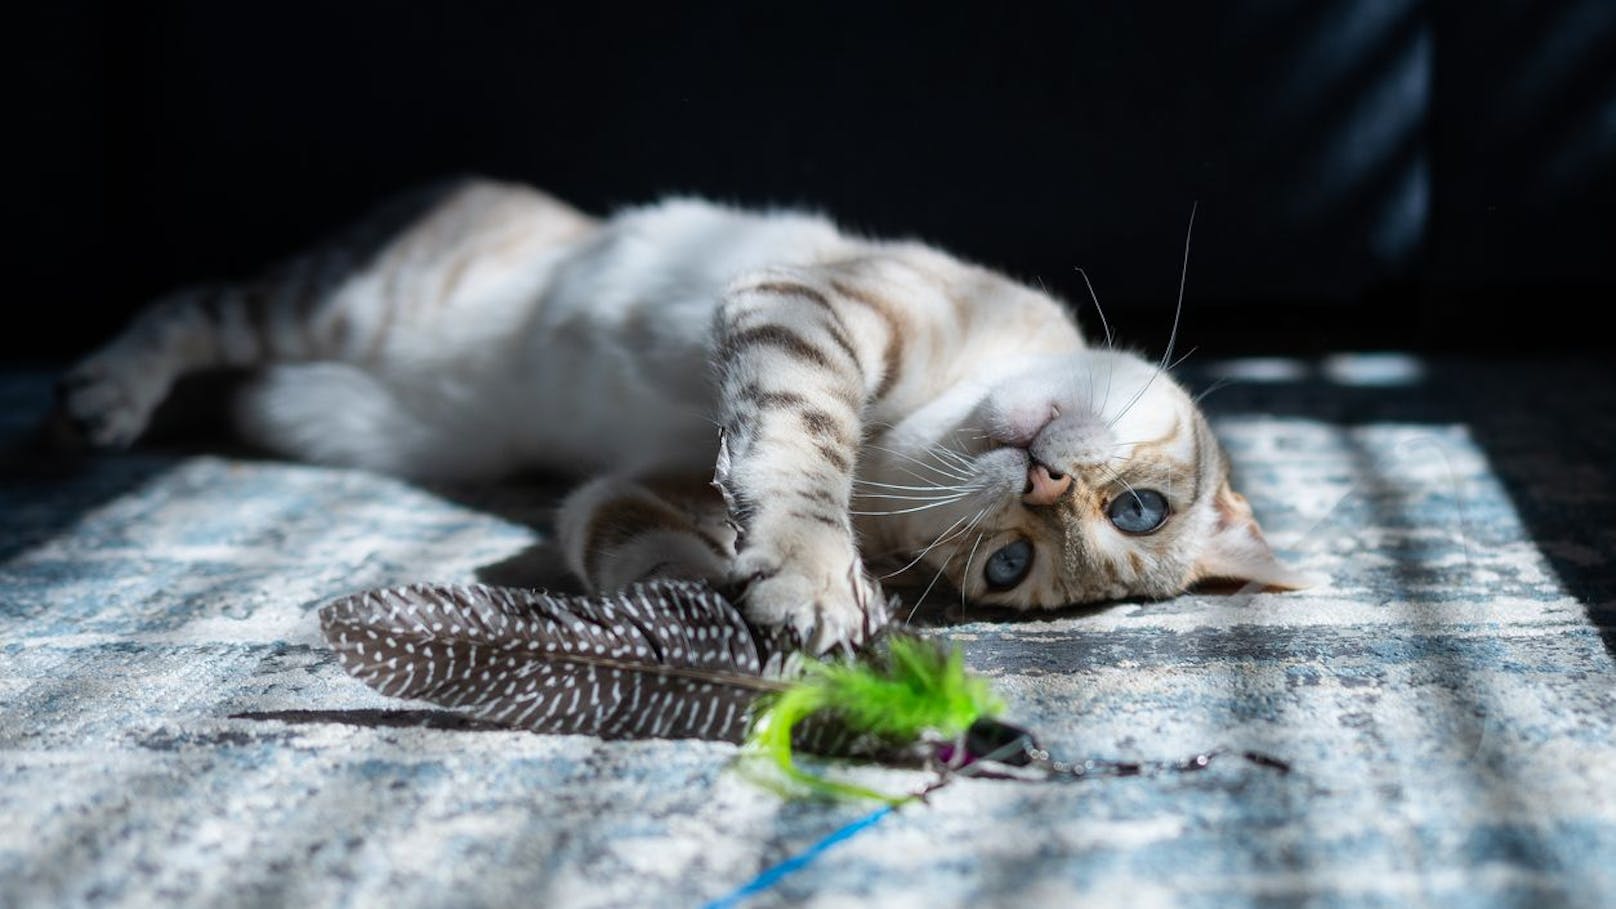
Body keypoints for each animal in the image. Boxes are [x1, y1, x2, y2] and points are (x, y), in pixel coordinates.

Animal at [56, 173, 1305, 650]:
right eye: (1139, 510)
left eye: (1008, 568)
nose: (1047, 484)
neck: (907, 450)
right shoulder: (806, 304)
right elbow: (800, 445)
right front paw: (812, 574)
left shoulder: (617, 492)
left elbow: (647, 545)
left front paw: (734, 604)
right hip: (333, 306)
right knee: (186, 306)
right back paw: (98, 400)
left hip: (325, 396)